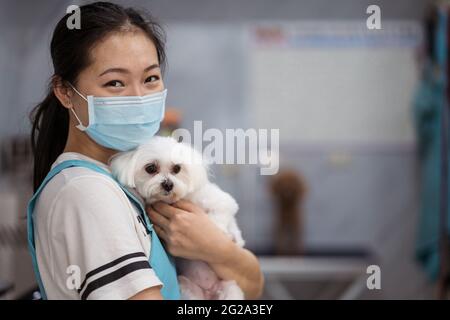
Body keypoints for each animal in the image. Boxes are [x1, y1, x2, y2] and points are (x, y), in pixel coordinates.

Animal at [111, 136, 248, 300]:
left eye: (177, 168)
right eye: (150, 168)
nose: (168, 184)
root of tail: (210, 292)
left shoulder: (222, 201)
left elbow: (220, 215)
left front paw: (222, 232)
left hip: (230, 289)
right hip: (188, 288)